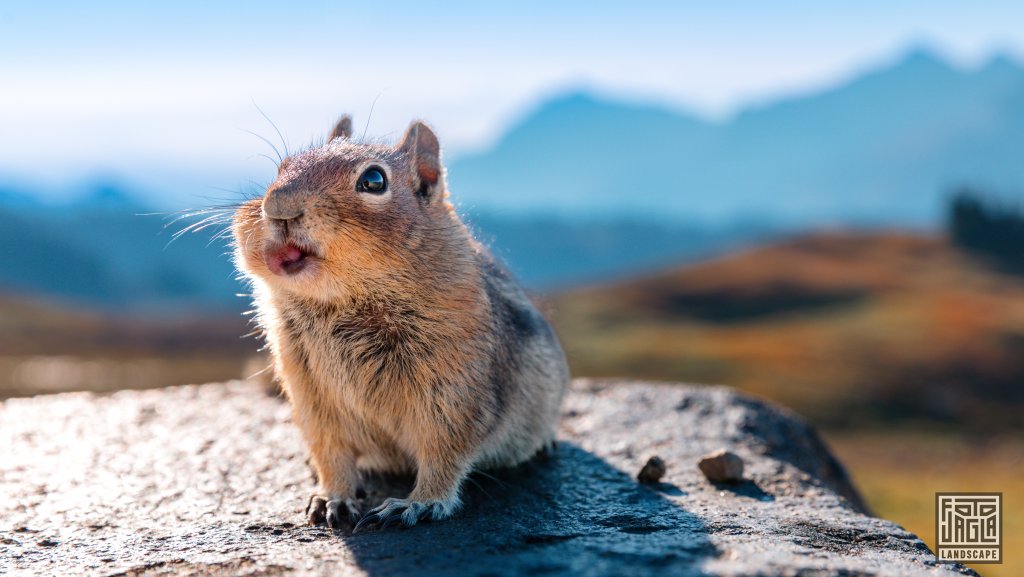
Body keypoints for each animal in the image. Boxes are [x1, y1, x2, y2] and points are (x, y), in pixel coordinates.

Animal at [232, 115, 573, 528]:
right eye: (281, 169)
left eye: (374, 180)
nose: (278, 206)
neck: (342, 301)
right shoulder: (310, 393)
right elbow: (330, 449)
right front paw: (333, 498)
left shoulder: (455, 389)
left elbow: (444, 449)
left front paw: (419, 503)